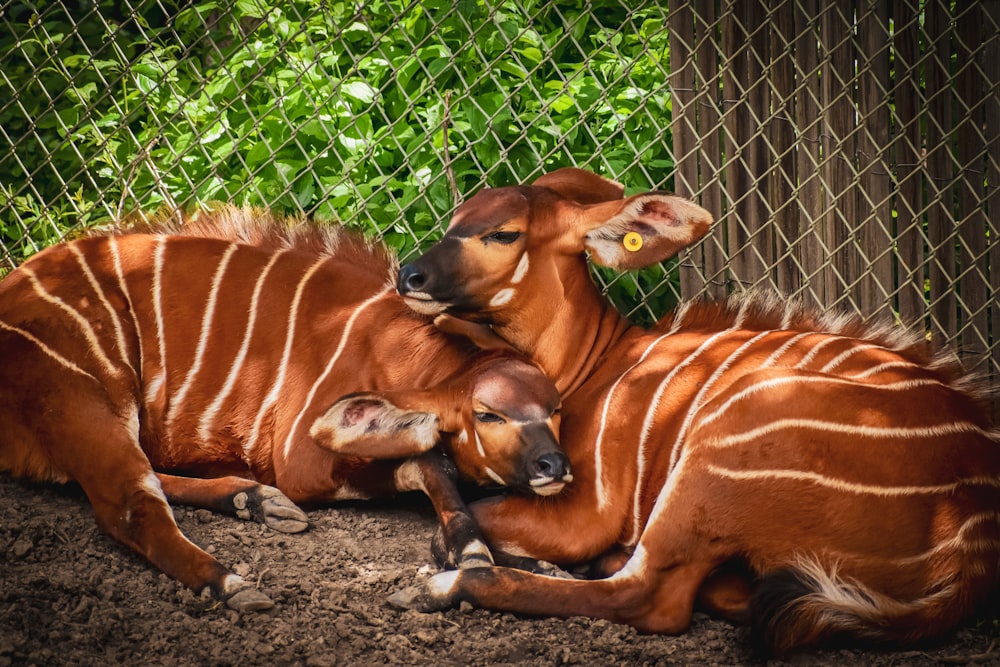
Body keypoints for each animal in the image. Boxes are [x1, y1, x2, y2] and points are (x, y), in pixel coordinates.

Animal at [0, 207, 568, 612]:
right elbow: (427, 459)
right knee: (129, 506)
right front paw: (471, 554)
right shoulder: (302, 461)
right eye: (487, 414)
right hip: (83, 400)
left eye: (556, 408)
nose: (554, 466)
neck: (389, 347)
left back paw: (252, 501)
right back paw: (231, 584)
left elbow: (434, 464)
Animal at [390, 168, 1000, 656]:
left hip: (718, 454)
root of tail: (970, 538)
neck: (595, 364)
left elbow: (453, 532)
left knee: (647, 598)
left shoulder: (585, 509)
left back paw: (446, 587)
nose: (408, 275)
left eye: (504, 233)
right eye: (455, 218)